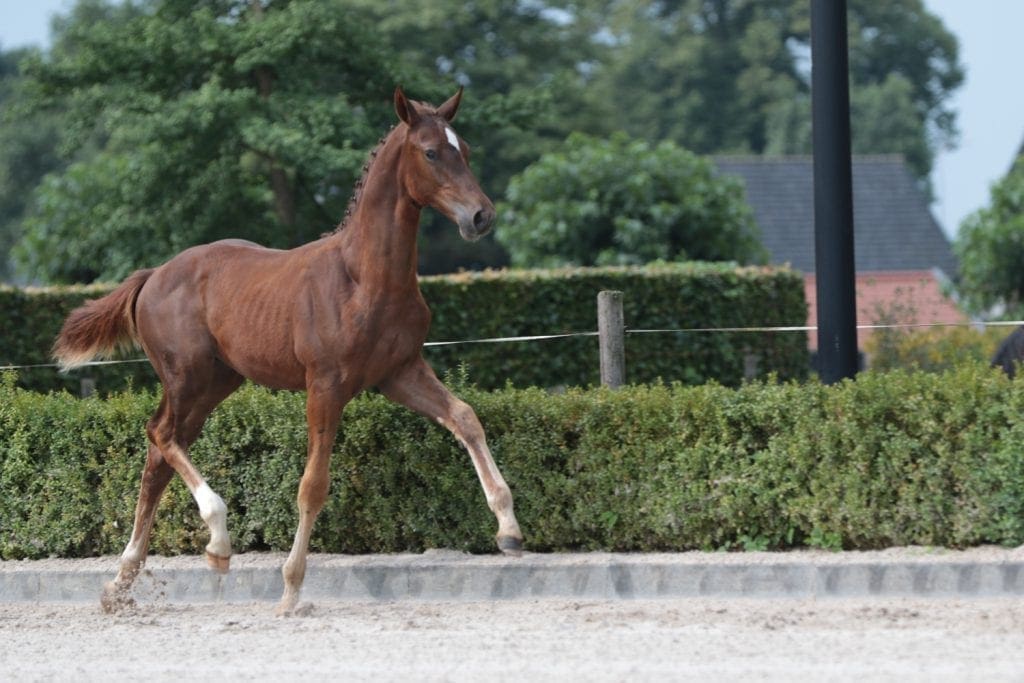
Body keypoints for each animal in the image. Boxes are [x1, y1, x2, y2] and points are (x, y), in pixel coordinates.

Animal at [52, 87, 524, 615]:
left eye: (465, 149)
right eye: (430, 152)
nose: (482, 216)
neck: (365, 279)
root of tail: (153, 275)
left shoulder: (400, 372)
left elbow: (465, 417)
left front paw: (509, 530)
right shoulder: (326, 385)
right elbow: (313, 485)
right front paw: (292, 588)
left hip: (216, 382)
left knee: (158, 456)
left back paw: (123, 581)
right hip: (187, 376)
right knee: (160, 435)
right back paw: (217, 542)